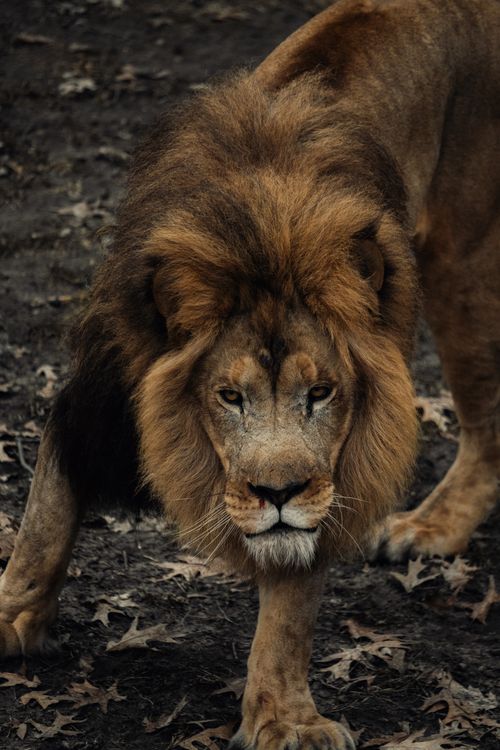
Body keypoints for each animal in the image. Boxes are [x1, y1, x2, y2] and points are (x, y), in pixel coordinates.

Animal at [1, 0, 499, 747]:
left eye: (321, 392)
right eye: (228, 395)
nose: (277, 493)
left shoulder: (333, 474)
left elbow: (291, 600)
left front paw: (284, 717)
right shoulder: (99, 398)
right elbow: (47, 507)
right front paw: (13, 613)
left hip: (463, 264)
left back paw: (432, 527)